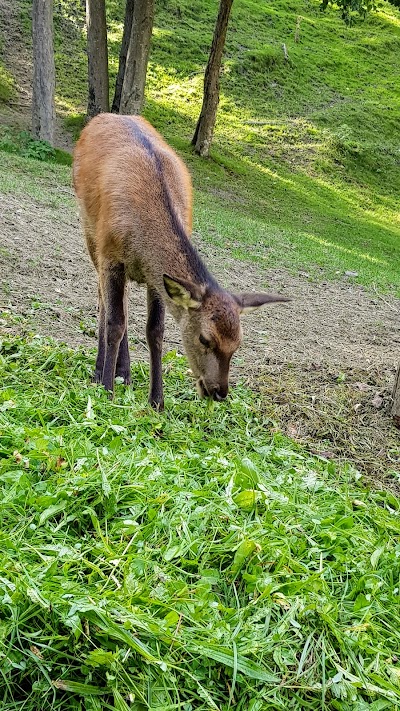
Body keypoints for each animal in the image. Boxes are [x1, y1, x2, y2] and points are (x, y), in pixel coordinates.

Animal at [73, 114, 290, 408]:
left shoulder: (156, 278)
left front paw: (157, 401)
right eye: (204, 338)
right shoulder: (111, 256)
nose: (219, 392)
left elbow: (155, 330)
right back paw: (101, 371)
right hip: (90, 231)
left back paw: (125, 373)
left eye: (238, 344)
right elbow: (115, 322)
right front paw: (107, 390)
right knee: (104, 302)